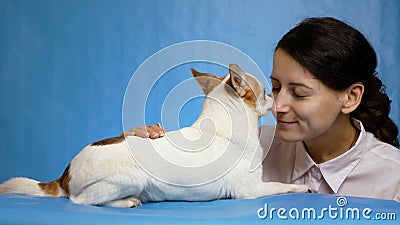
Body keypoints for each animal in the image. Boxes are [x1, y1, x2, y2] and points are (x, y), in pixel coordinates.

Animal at [0, 63, 310, 207]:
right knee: (80, 201)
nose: (273, 98)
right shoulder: (251, 190)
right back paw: (126, 201)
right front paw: (302, 188)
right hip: (131, 178)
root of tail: (65, 174)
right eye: (265, 91)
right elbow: (280, 185)